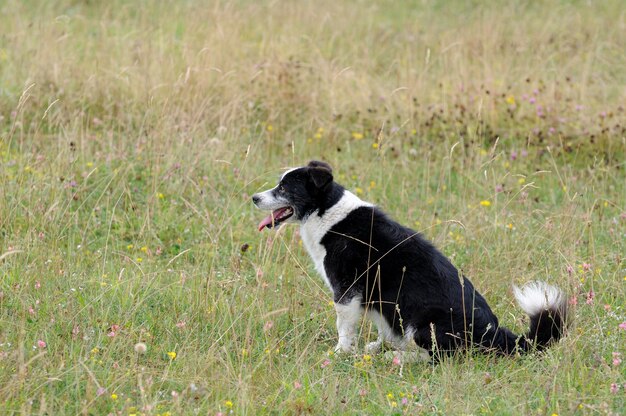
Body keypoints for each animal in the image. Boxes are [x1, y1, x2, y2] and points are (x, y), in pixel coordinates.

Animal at [251, 161, 564, 356]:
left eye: (284, 188)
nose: (254, 197)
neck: (327, 212)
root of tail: (496, 334)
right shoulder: (378, 298)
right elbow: (383, 328)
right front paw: (378, 346)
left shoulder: (347, 291)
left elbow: (344, 328)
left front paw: (341, 353)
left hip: (425, 324)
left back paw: (401, 358)